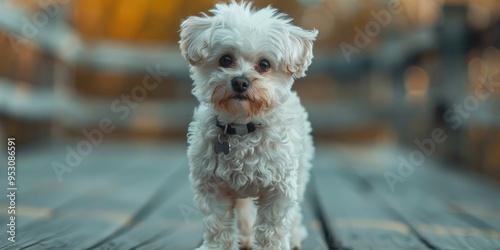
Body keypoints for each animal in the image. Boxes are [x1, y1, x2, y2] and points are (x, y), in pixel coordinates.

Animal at [180, 1, 316, 248]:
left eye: (264, 64)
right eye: (225, 60)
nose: (240, 81)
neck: (241, 128)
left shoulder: (279, 189)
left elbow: (273, 228)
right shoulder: (212, 187)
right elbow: (217, 225)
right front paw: (216, 247)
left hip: (300, 172)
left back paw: (294, 236)